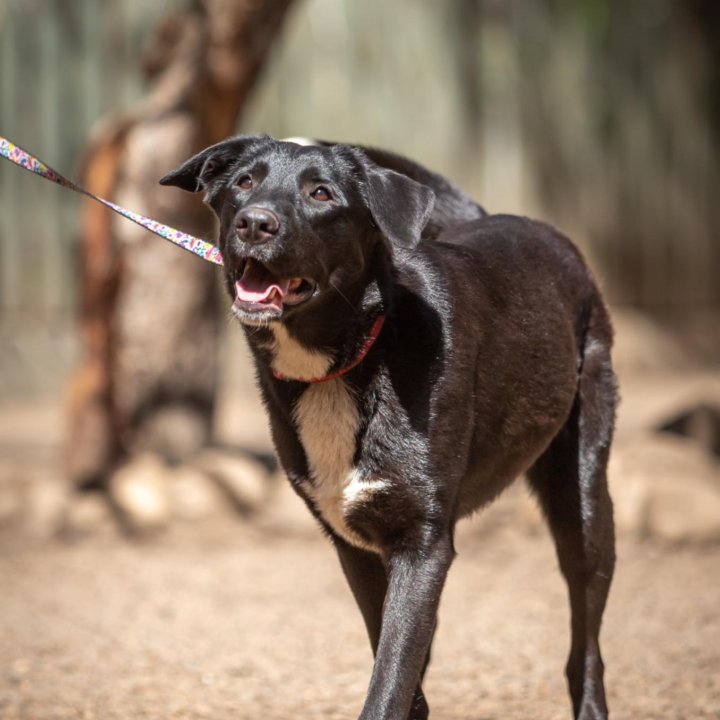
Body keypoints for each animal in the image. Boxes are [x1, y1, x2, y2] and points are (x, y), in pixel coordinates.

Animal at [160, 136, 616, 720]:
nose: (254, 223)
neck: (347, 360)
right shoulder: (355, 546)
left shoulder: (422, 545)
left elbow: (392, 674)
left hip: (583, 502)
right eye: (244, 182)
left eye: (321, 193)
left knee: (586, 638)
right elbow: (397, 662)